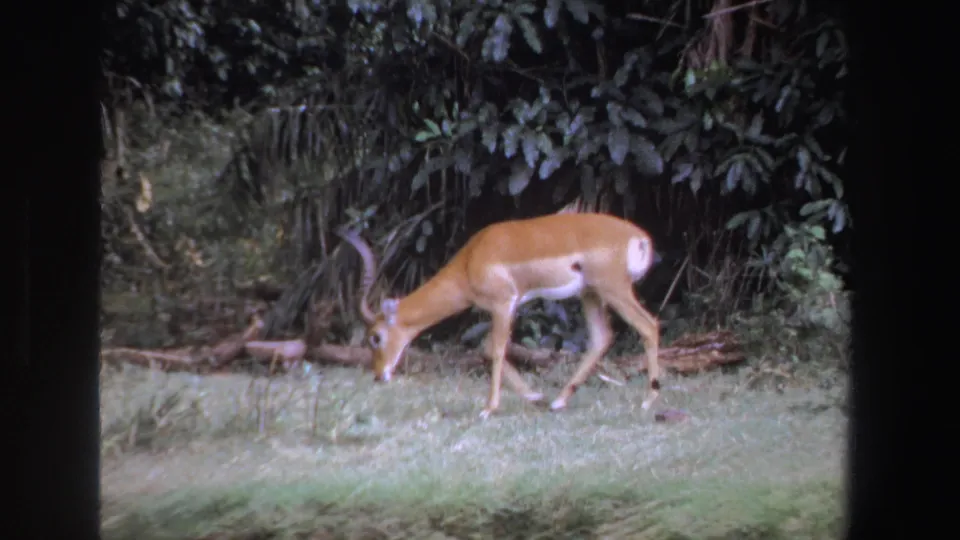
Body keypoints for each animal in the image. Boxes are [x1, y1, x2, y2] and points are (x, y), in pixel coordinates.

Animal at [337, 212, 661, 419]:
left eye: (375, 337)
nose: (379, 375)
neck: (472, 259)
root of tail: (638, 236)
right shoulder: (500, 307)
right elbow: (488, 348)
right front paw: (535, 397)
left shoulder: (503, 303)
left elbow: (495, 349)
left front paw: (488, 408)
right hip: (591, 294)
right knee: (601, 338)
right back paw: (558, 401)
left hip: (613, 289)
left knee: (648, 326)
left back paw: (649, 402)